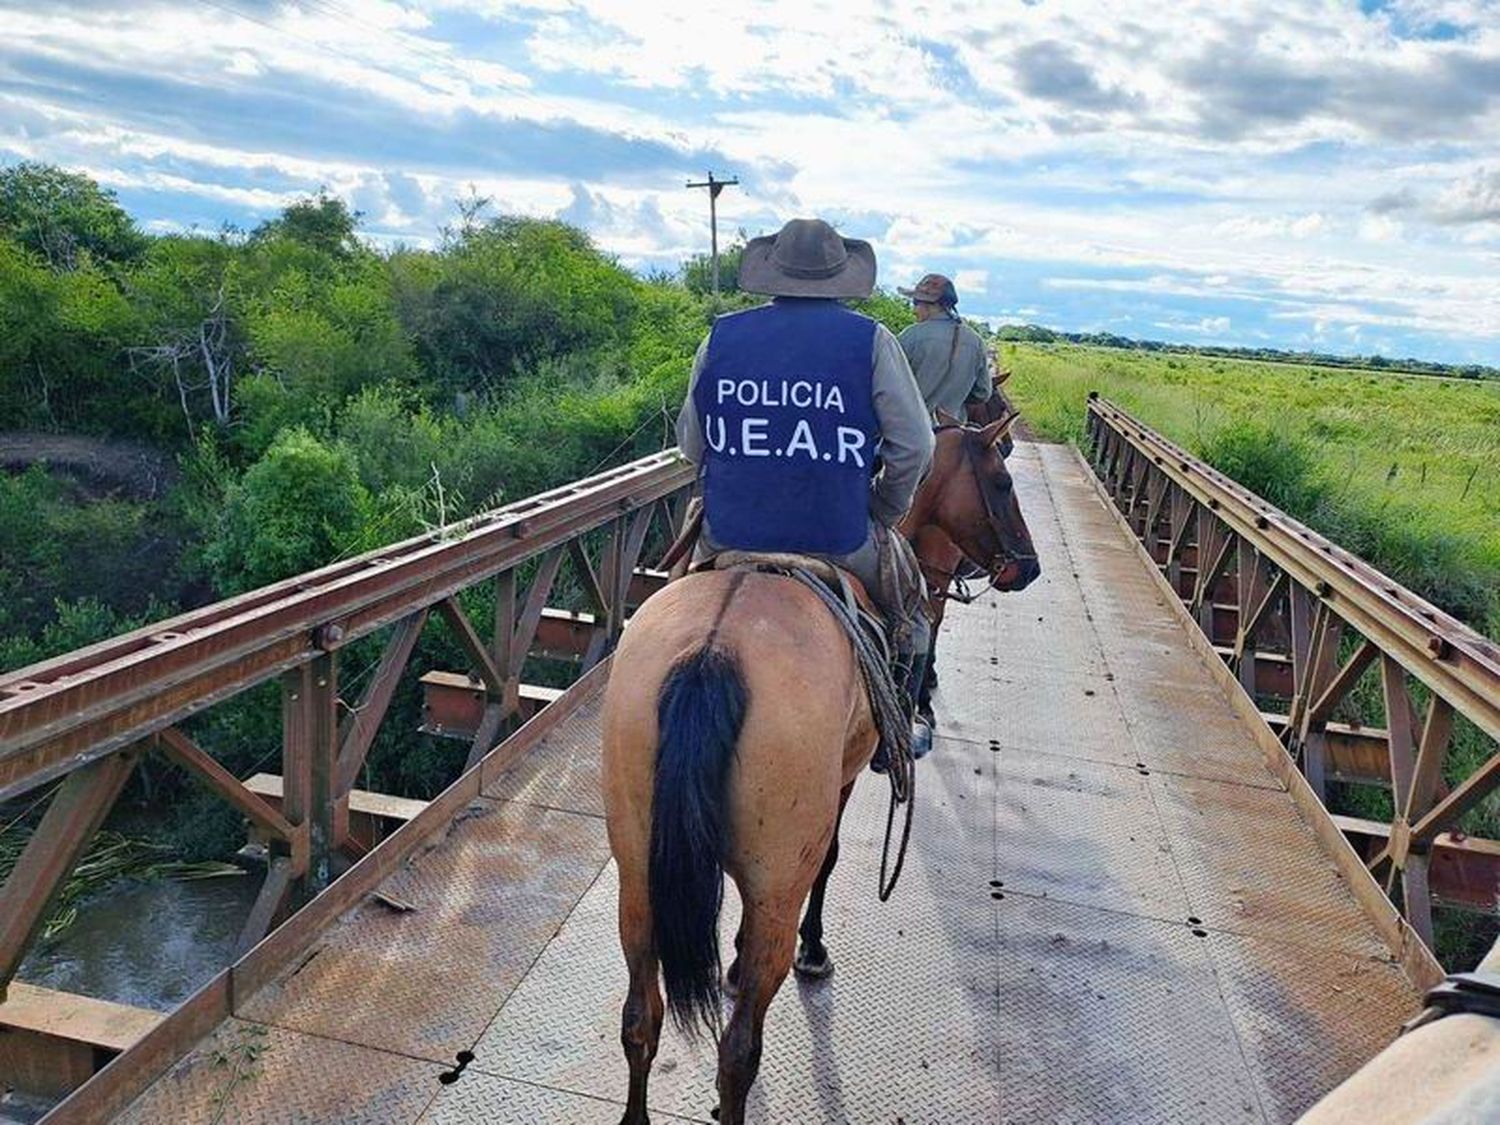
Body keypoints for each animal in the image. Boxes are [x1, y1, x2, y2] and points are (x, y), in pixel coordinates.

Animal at [603, 414, 1038, 1125]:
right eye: (1001, 480)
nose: (1025, 568)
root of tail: (712, 654)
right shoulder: (838, 784)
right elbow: (830, 859)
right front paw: (814, 949)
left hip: (637, 872)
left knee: (642, 1017)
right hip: (770, 878)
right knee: (739, 1050)